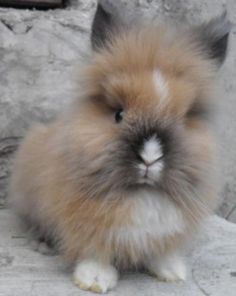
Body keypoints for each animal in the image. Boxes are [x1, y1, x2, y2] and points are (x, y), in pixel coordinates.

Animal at [8, 2, 230, 294]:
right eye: (119, 115)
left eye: (183, 120)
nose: (149, 158)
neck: (141, 193)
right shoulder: (85, 220)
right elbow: (95, 250)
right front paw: (95, 280)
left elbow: (162, 251)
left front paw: (172, 272)